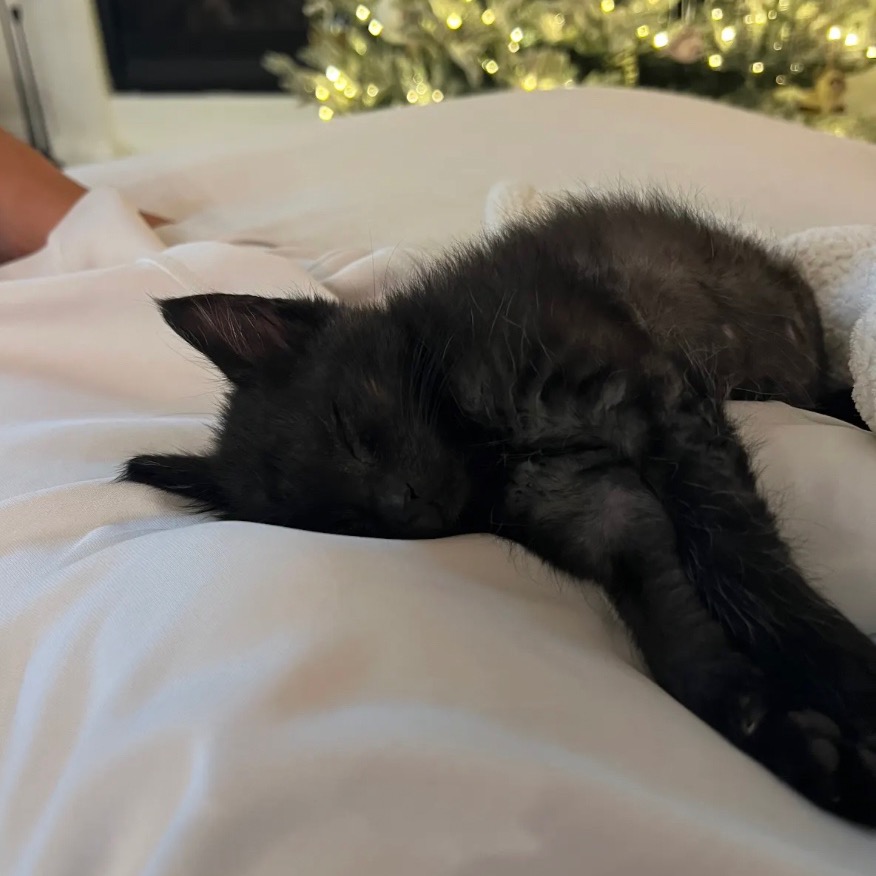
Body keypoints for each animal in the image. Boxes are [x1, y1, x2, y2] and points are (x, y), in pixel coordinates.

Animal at [124, 191, 876, 826]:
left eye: (348, 430)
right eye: (341, 523)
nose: (404, 505)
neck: (487, 450)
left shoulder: (659, 407)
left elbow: (739, 561)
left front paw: (843, 676)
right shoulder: (600, 509)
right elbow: (672, 627)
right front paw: (781, 735)